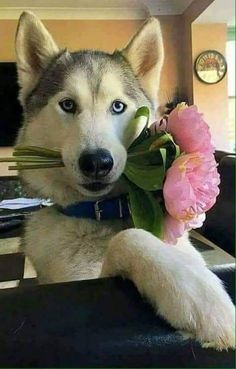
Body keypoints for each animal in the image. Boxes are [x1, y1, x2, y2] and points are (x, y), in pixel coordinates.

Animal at [15, 11, 234, 350]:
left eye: (118, 106)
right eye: (68, 105)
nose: (96, 162)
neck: (102, 214)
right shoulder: (79, 279)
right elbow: (130, 238)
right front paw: (195, 291)